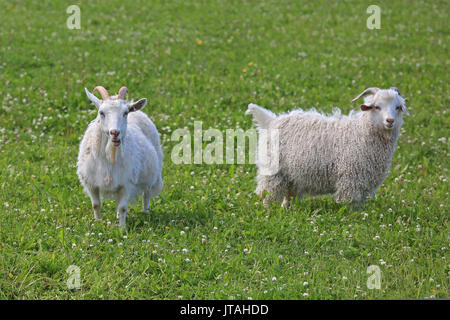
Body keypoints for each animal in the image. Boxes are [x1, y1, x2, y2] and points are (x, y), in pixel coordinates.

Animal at [77, 86, 163, 228]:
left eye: (125, 113)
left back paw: (146, 213)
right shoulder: (91, 182)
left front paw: (122, 229)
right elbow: (96, 205)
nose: (115, 133)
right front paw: (98, 223)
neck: (109, 155)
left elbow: (123, 207)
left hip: (151, 174)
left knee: (146, 195)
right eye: (101, 112)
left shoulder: (126, 183)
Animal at [248, 87, 410, 208]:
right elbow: (349, 204)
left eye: (398, 107)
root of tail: (271, 120)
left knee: (289, 195)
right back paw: (268, 211)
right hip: (273, 171)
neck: (360, 131)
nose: (390, 121)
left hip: (292, 175)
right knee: (267, 194)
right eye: (377, 106)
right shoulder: (350, 178)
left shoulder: (364, 183)